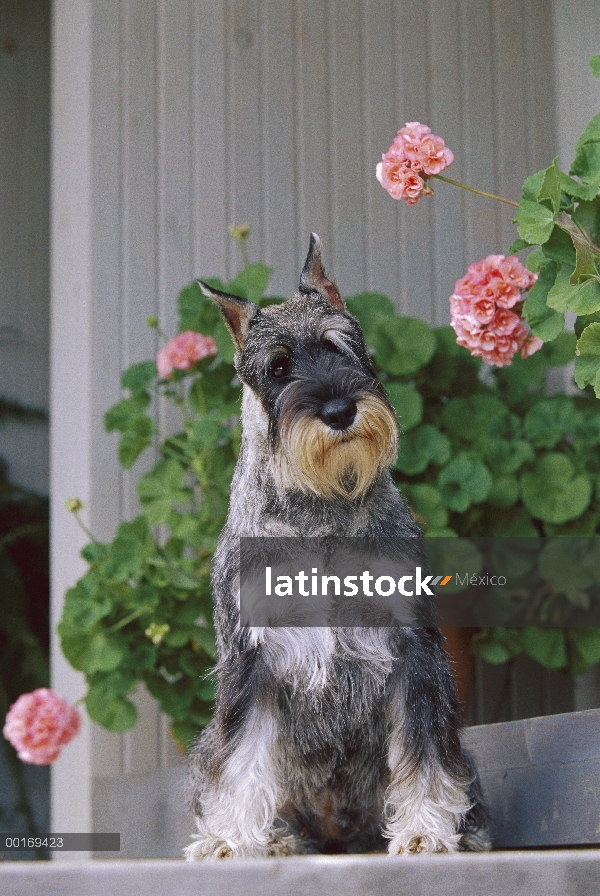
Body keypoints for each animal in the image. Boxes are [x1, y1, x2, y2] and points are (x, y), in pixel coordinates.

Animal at [185, 234, 490, 856]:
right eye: (277, 368)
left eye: (340, 346)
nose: (339, 411)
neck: (321, 510)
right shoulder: (250, 660)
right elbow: (240, 760)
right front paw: (229, 839)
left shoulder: (414, 648)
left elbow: (426, 752)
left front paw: (425, 830)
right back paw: (276, 839)